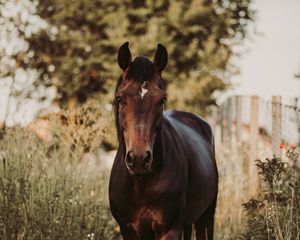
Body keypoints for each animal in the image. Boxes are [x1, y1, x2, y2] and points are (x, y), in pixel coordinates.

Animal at [108, 42, 218, 239]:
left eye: (161, 99)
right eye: (120, 98)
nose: (139, 159)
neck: (141, 184)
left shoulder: (170, 230)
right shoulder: (127, 230)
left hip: (207, 216)